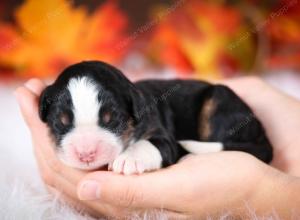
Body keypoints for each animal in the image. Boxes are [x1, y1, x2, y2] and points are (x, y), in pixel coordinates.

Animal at [38, 60, 274, 174]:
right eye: (61, 122)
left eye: (111, 119)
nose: (86, 154)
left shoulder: (160, 132)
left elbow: (150, 144)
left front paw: (129, 158)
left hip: (218, 99)